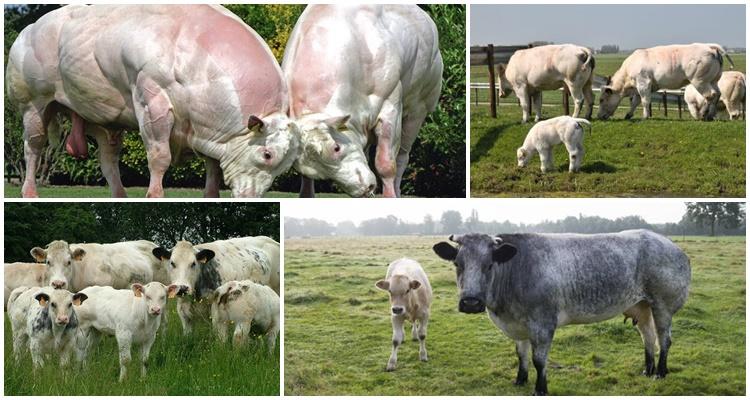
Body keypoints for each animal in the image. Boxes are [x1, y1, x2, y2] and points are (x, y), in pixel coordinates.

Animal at [6, 3, 300, 197]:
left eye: (285, 167)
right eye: (267, 154)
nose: (251, 197)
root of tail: (29, 29)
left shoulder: (210, 130)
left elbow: (213, 170)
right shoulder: (151, 100)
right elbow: (159, 157)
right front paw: (154, 194)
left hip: (102, 119)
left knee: (108, 160)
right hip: (32, 104)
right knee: (33, 147)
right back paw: (30, 192)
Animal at [284, 4, 444, 198]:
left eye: (336, 148)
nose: (365, 188)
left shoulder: (390, 105)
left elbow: (386, 164)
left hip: (419, 108)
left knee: (402, 157)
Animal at [434, 230, 692, 396]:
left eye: (489, 265)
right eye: (457, 264)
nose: (470, 302)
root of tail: (673, 246)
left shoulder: (542, 324)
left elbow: (539, 360)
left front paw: (540, 389)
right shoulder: (519, 325)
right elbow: (521, 355)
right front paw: (520, 380)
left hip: (663, 305)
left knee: (664, 339)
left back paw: (660, 372)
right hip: (641, 306)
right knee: (648, 337)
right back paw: (647, 369)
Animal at [596, 43, 732, 119]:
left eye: (601, 99)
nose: (598, 116)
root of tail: (710, 47)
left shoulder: (643, 83)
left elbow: (645, 101)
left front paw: (645, 116)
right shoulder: (641, 87)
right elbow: (635, 102)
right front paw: (629, 115)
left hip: (699, 81)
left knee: (709, 96)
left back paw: (704, 114)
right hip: (713, 80)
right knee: (717, 94)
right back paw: (710, 115)